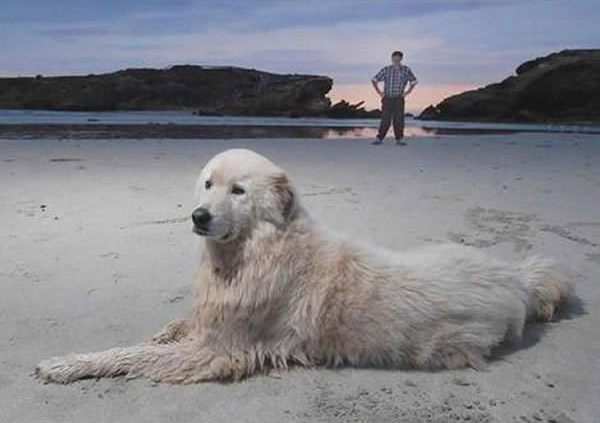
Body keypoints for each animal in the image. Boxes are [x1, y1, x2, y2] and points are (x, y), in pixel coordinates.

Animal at [36, 148, 572, 384]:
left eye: (239, 191)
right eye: (208, 184)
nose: (198, 216)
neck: (254, 251)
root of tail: (516, 276)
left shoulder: (217, 349)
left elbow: (132, 355)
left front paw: (67, 364)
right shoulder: (211, 319)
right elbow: (176, 326)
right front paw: (164, 329)